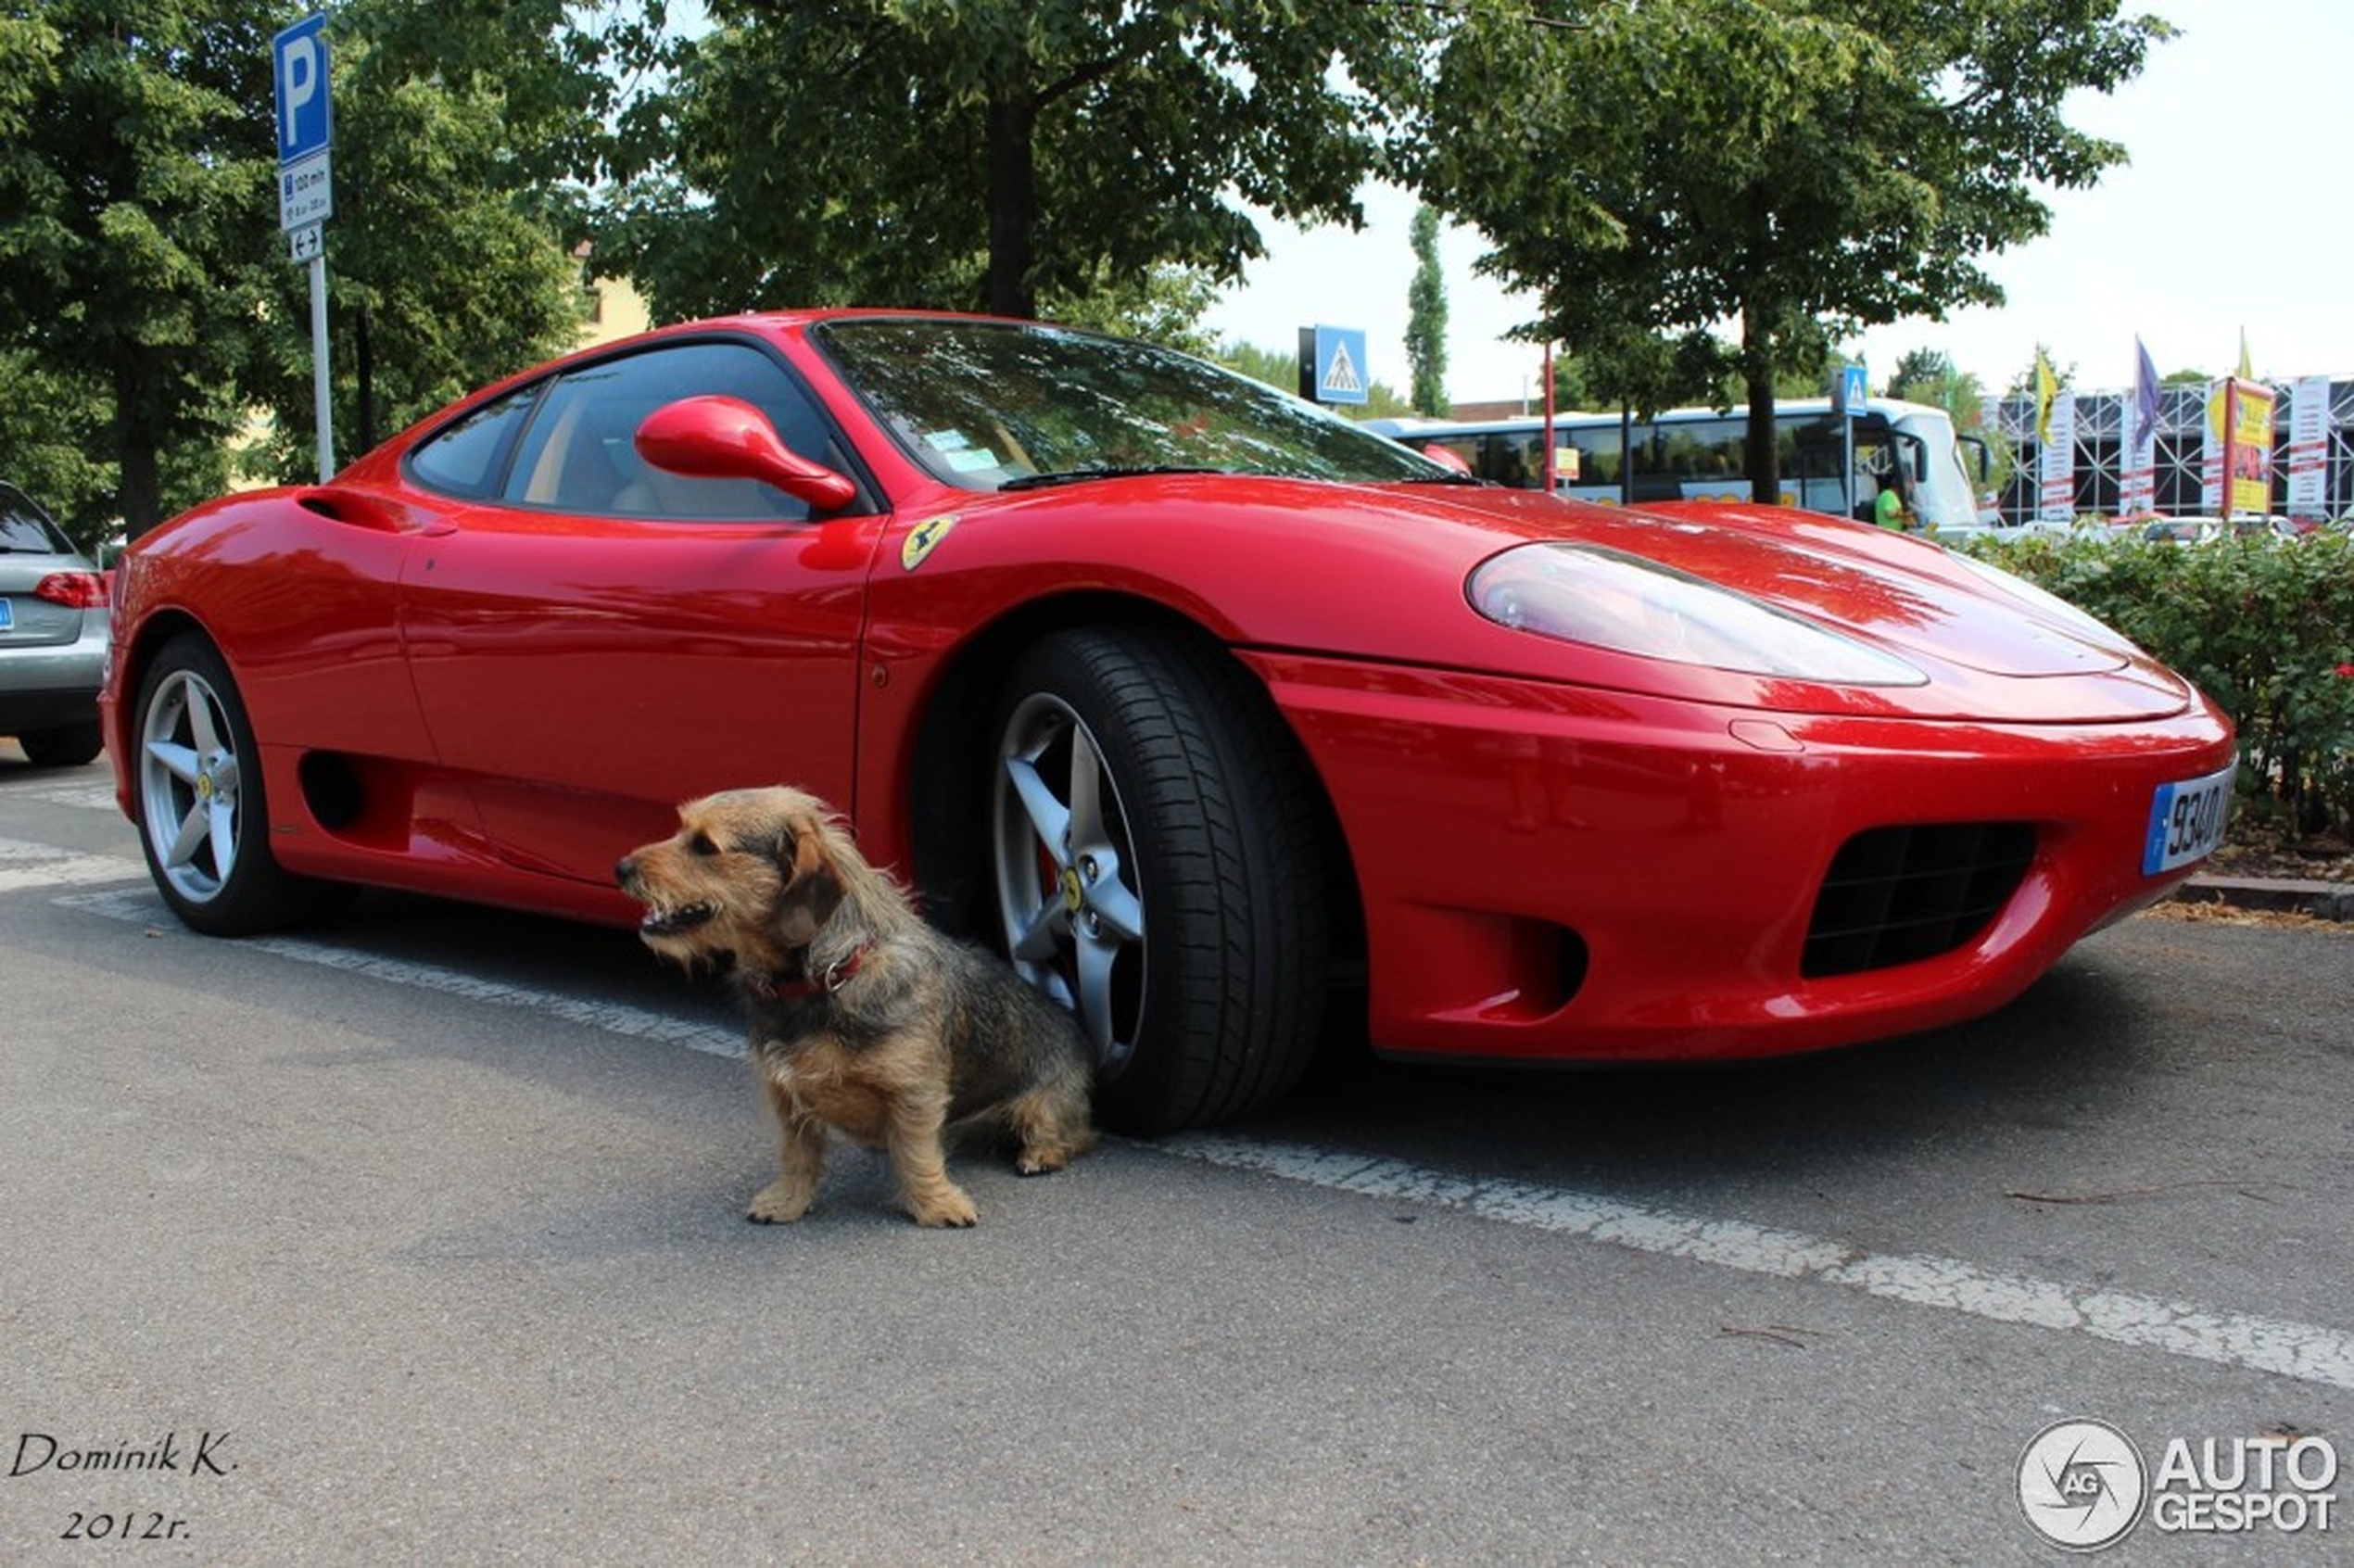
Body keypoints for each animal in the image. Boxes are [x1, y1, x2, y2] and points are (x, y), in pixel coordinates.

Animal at [616, 781, 1092, 1224]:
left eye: (704, 846)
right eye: (682, 829)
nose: (620, 867)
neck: (823, 979)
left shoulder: (915, 1093)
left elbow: (918, 1153)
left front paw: (937, 1204)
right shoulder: (785, 1097)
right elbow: (797, 1155)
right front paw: (788, 1201)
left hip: (1040, 1106)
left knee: (1078, 1133)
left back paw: (1041, 1154)